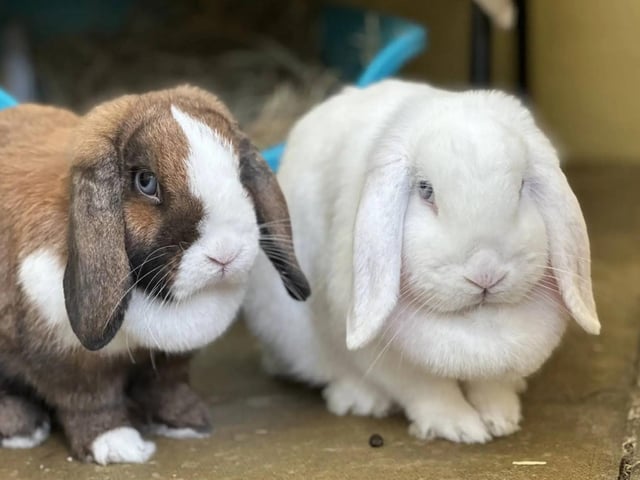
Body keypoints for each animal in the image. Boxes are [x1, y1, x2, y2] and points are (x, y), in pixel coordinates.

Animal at [0, 85, 310, 464]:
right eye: (145, 182)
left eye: (239, 172)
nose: (225, 253)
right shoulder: (68, 359)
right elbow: (90, 400)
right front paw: (118, 445)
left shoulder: (169, 359)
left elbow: (168, 384)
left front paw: (187, 422)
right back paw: (22, 428)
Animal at [243, 79, 599, 444]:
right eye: (425, 190)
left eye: (520, 188)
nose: (485, 273)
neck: (478, 323)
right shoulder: (389, 362)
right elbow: (428, 391)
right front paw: (462, 428)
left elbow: (490, 385)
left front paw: (501, 419)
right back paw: (360, 400)